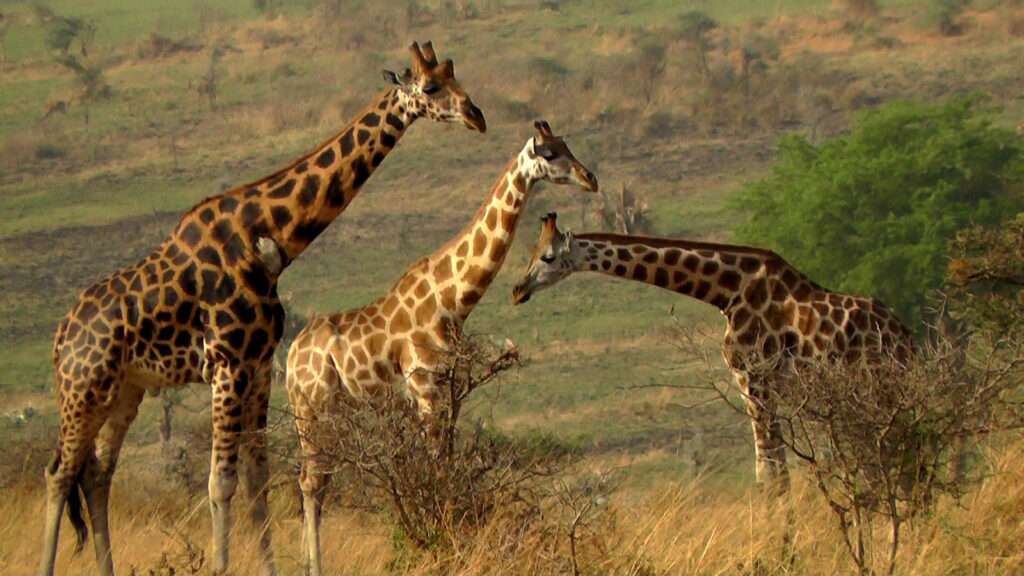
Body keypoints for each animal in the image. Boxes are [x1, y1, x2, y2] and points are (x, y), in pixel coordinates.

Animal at [39, 40, 487, 573]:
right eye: (431, 87)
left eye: (456, 77)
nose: (477, 115)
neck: (271, 236)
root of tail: (61, 336)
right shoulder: (227, 365)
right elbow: (221, 484)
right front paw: (219, 566)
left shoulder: (256, 368)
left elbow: (258, 484)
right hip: (82, 391)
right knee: (58, 473)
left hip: (124, 392)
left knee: (96, 474)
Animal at [284, 119, 598, 573]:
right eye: (551, 153)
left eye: (567, 144)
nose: (590, 178)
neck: (452, 300)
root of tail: (291, 355)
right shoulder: (424, 382)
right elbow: (435, 466)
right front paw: (440, 542)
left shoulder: (450, 383)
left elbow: (447, 461)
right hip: (312, 406)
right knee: (311, 480)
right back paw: (314, 566)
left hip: (324, 410)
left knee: (313, 480)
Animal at [509, 214, 913, 487]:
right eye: (531, 251)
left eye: (547, 257)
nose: (516, 290)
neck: (727, 291)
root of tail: (905, 336)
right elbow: (774, 470)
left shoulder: (755, 378)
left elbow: (770, 474)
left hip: (879, 388)